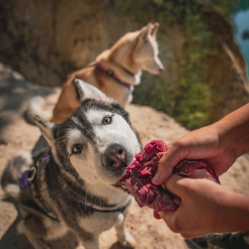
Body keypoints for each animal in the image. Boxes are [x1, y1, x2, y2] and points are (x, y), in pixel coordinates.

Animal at [0, 79, 142, 249]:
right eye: (76, 148)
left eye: (107, 120)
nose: (115, 154)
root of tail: (20, 194)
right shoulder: (87, 237)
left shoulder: (124, 211)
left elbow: (121, 226)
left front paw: (124, 239)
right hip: (53, 225)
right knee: (23, 228)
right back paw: (40, 244)